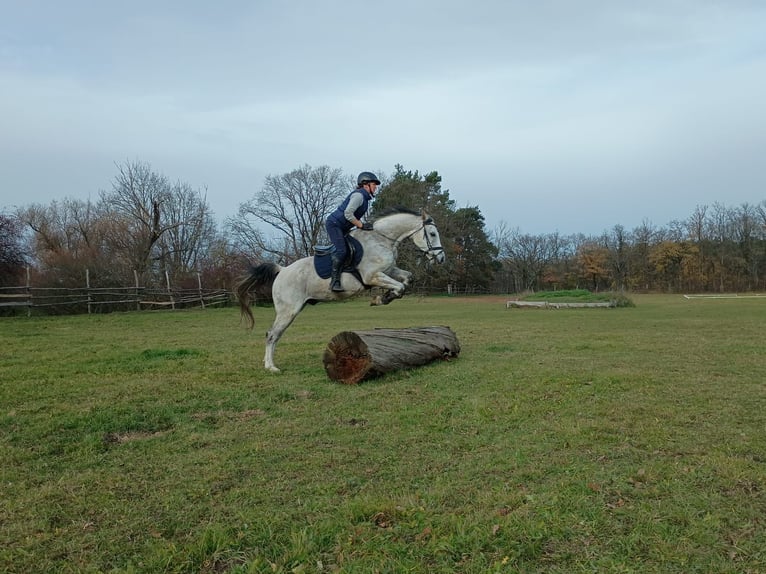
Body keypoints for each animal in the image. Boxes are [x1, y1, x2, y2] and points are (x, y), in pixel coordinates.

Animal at [237, 207, 446, 372]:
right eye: (432, 234)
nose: (441, 258)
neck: (381, 239)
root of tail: (282, 270)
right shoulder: (372, 276)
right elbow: (400, 286)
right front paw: (381, 298)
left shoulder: (388, 270)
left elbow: (407, 279)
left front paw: (384, 297)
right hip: (288, 311)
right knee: (272, 335)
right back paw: (271, 367)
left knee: (274, 335)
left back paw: (267, 363)